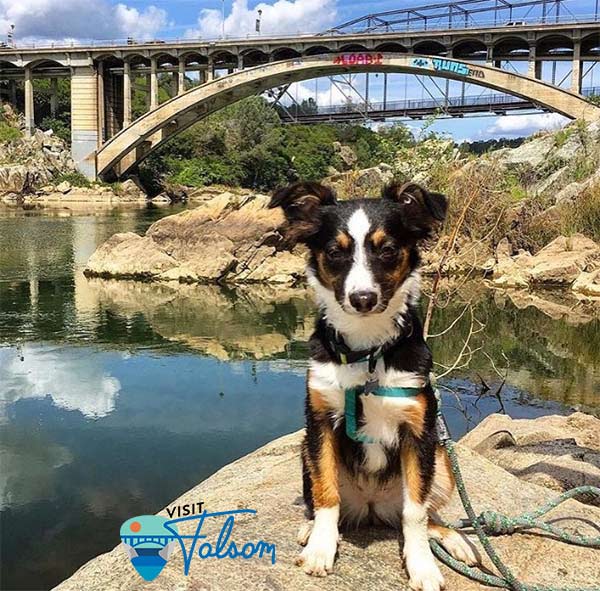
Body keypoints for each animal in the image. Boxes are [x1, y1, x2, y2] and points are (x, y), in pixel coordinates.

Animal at [270, 182, 480, 591]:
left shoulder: (419, 431)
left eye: (387, 250)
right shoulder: (320, 422)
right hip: (305, 449)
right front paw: (321, 548)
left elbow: (415, 513)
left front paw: (422, 566)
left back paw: (455, 541)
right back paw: (312, 529)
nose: (362, 299)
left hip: (443, 463)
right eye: (335, 252)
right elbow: (326, 493)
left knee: (425, 514)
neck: (366, 351)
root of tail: (370, 507)